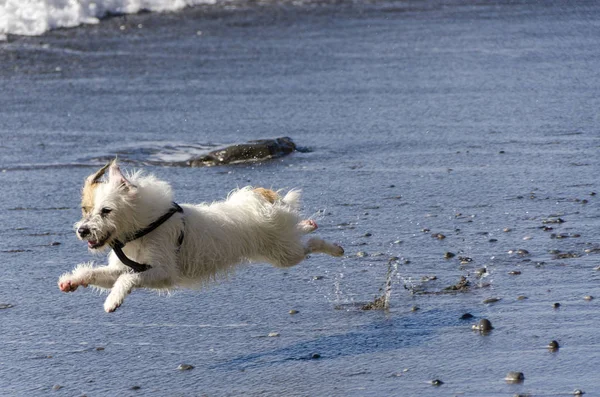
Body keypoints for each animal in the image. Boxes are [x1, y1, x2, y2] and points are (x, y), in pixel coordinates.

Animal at [59, 161, 344, 312]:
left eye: (106, 210)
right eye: (85, 209)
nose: (82, 231)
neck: (145, 227)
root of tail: (262, 200)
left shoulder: (163, 273)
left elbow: (127, 280)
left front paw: (113, 300)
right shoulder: (126, 267)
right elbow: (99, 273)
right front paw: (72, 280)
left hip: (284, 254)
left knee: (309, 246)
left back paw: (333, 247)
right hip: (278, 246)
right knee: (299, 232)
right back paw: (308, 224)